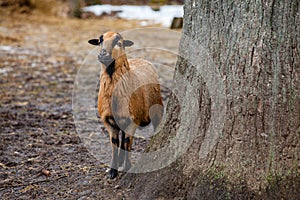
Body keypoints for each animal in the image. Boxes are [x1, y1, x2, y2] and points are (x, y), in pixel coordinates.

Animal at [88, 32, 163, 179]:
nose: (103, 55)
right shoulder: (108, 121)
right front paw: (113, 171)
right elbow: (114, 143)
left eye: (119, 43)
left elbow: (128, 142)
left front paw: (128, 168)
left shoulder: (133, 120)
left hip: (157, 110)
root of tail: (142, 59)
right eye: (100, 41)